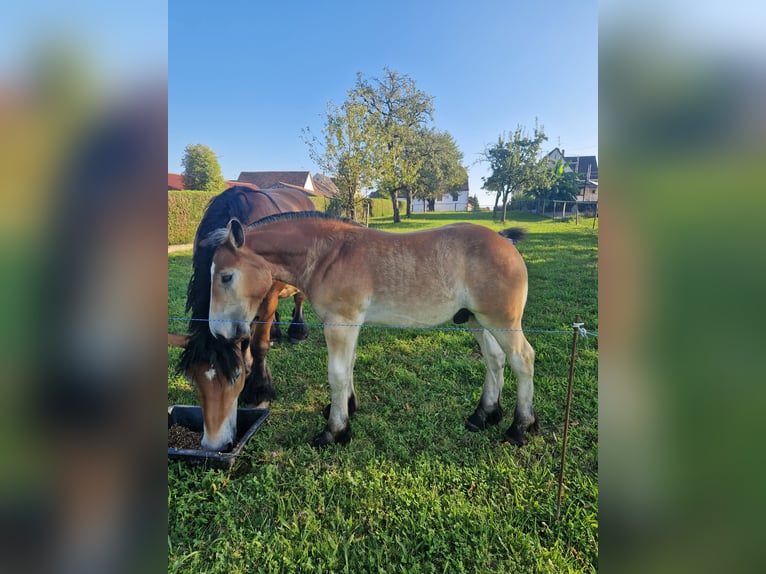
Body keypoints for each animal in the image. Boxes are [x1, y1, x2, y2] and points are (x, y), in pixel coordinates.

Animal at [177, 187, 316, 452]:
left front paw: (259, 390)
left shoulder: (268, 297)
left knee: (298, 300)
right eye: (193, 380)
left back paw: (297, 332)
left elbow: (258, 344)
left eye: (234, 380)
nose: (214, 444)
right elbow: (243, 340)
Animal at [206, 212, 540, 450]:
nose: (218, 331)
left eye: (226, 276)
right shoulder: (350, 325)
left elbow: (337, 374)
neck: (329, 255)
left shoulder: (340, 323)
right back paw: (484, 415)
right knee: (495, 360)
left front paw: (334, 431)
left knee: (522, 359)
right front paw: (348, 408)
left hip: (501, 321)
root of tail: (505, 240)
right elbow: (350, 366)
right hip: (476, 320)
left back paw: (520, 427)